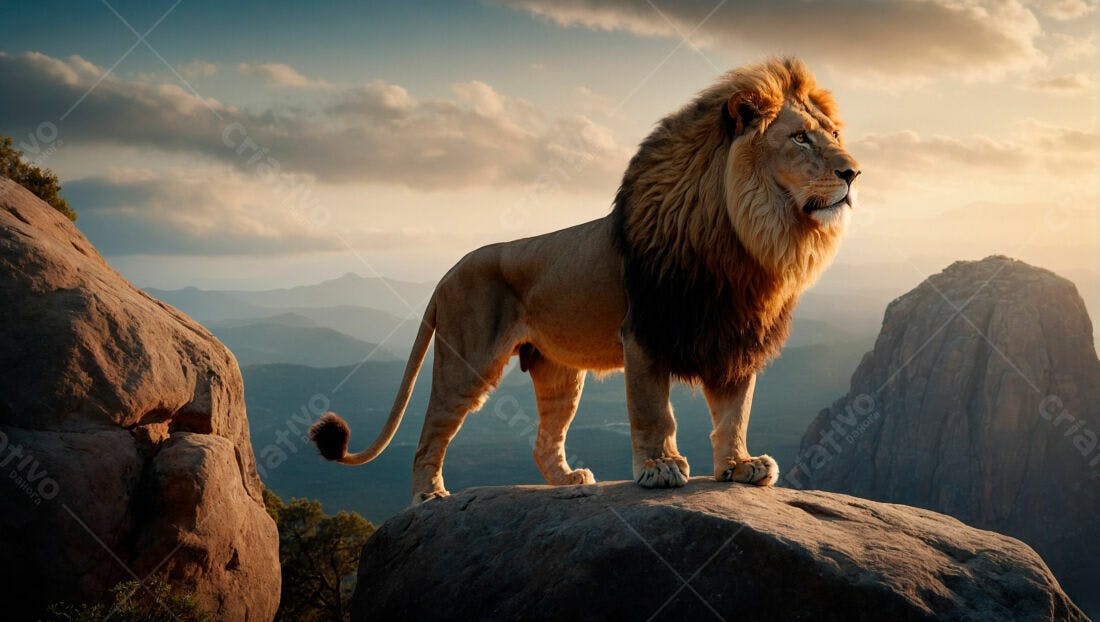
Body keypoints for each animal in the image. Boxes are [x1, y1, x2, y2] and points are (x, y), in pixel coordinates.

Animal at [310, 57, 860, 504]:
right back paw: (429, 495)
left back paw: (568, 481)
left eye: (833, 135)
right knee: (431, 431)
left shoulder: (734, 336)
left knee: (542, 441)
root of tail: (448, 270)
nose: (853, 172)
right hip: (467, 359)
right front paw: (659, 468)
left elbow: (734, 412)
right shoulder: (644, 334)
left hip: (558, 372)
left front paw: (740, 466)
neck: (746, 239)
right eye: (799, 138)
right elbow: (653, 410)